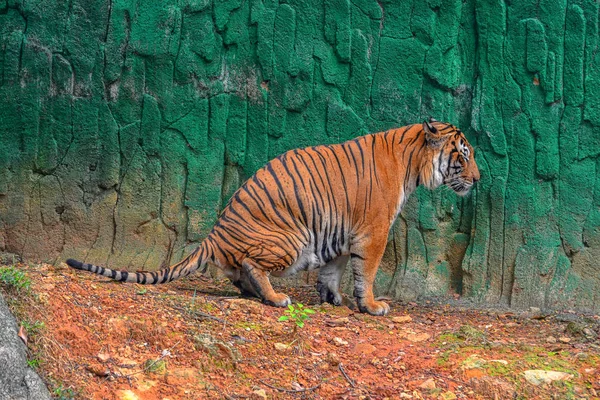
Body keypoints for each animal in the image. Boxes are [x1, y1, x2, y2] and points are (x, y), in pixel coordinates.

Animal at [67, 119, 478, 316]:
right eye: (463, 154)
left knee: (237, 275)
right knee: (251, 265)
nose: (477, 179)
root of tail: (214, 233)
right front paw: (371, 306)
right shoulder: (372, 231)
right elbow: (366, 272)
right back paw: (276, 298)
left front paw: (333, 297)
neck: (414, 163)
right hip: (292, 238)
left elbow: (334, 269)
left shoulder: (344, 234)